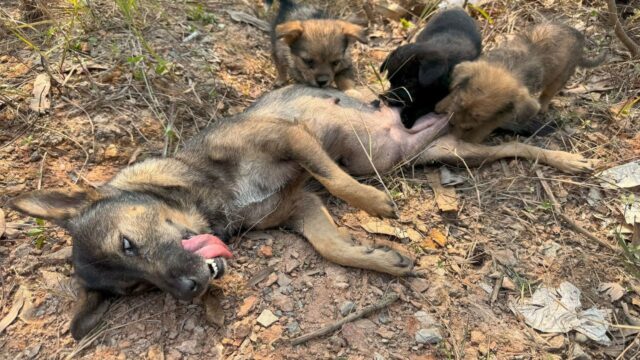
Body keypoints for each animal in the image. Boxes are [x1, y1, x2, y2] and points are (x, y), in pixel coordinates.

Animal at [8, 86, 596, 338]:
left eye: (127, 245)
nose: (191, 290)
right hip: (442, 154)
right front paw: (382, 260)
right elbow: (334, 248)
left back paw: (567, 155)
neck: (208, 197)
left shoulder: (290, 139)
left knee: (515, 140)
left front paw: (375, 205)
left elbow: (338, 181)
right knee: (504, 150)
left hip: (448, 136)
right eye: (136, 289)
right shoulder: (300, 207)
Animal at [438, 21, 608, 143]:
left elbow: (488, 125)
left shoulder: (505, 112)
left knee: (548, 93)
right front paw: (442, 104)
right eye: (460, 102)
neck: (509, 68)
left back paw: (543, 108)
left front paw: (471, 139)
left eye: (478, 117)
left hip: (561, 76)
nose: (451, 125)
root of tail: (579, 37)